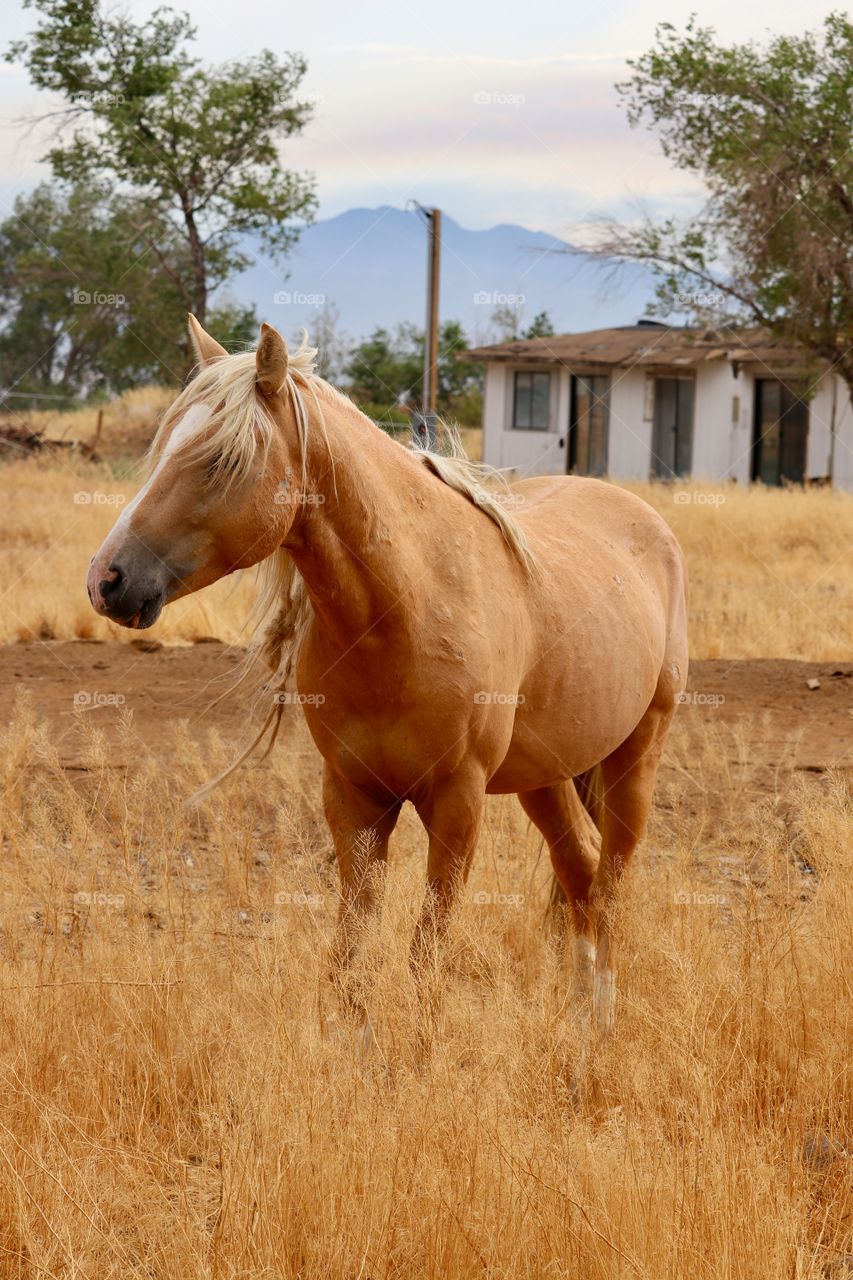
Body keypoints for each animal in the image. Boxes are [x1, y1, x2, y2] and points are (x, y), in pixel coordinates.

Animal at [87, 317, 686, 1059]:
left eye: (219, 462)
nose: (107, 580)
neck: (407, 604)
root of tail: (641, 517)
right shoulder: (354, 798)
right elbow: (351, 950)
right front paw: (354, 1057)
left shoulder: (456, 802)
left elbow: (426, 949)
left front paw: (420, 1064)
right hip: (544, 776)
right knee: (579, 872)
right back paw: (575, 1020)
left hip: (636, 755)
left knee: (610, 887)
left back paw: (598, 1028)